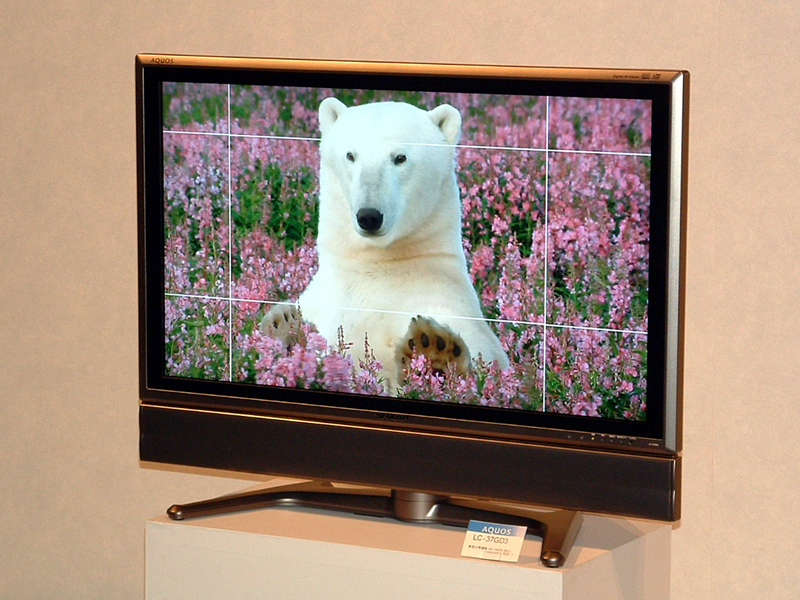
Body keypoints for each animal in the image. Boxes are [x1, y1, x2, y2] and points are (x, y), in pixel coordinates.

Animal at [261, 97, 508, 391]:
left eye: (400, 157)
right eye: (350, 155)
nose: (369, 216)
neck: (378, 262)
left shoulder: (447, 298)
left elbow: (486, 355)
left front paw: (435, 351)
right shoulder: (326, 302)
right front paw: (285, 328)